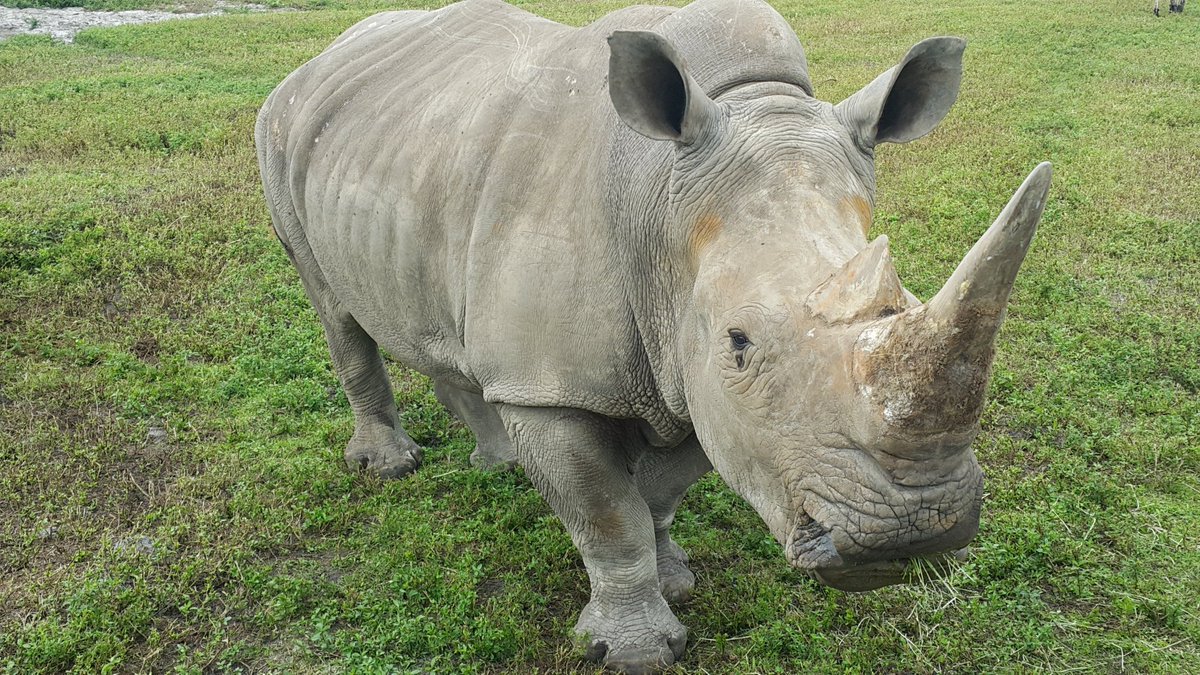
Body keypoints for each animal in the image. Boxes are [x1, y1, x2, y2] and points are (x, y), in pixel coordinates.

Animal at [255, 0, 1051, 670]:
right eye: (739, 343)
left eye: (903, 304)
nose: (915, 529)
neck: (664, 206)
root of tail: (329, 52)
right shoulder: (557, 385)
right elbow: (609, 515)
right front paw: (634, 650)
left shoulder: (691, 371)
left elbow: (661, 492)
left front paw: (677, 580)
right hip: (281, 132)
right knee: (334, 308)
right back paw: (389, 466)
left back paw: (499, 463)